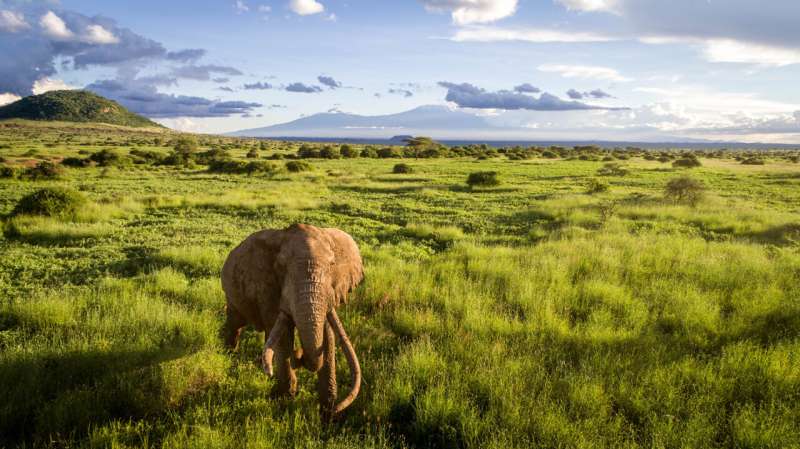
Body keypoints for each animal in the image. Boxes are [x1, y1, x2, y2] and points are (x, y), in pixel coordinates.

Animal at [222, 224, 366, 420]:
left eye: (332, 265)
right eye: (281, 268)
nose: (299, 354)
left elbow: (327, 335)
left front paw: (328, 413)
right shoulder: (268, 288)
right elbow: (284, 336)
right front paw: (284, 398)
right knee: (235, 323)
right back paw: (228, 354)